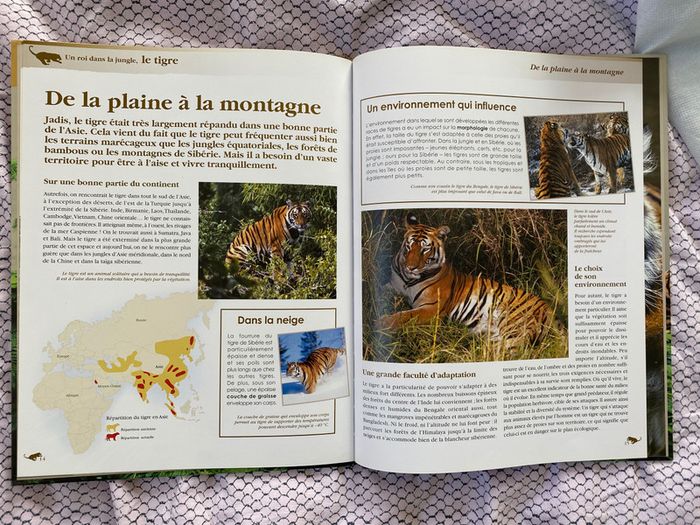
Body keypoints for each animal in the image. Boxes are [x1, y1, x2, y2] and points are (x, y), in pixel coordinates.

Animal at [376, 216, 562, 352]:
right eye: (409, 246)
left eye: (425, 249)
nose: (410, 267)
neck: (408, 280)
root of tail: (549, 309)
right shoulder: (393, 286)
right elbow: (381, 291)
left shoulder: (431, 308)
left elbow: (404, 316)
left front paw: (382, 323)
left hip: (512, 329)